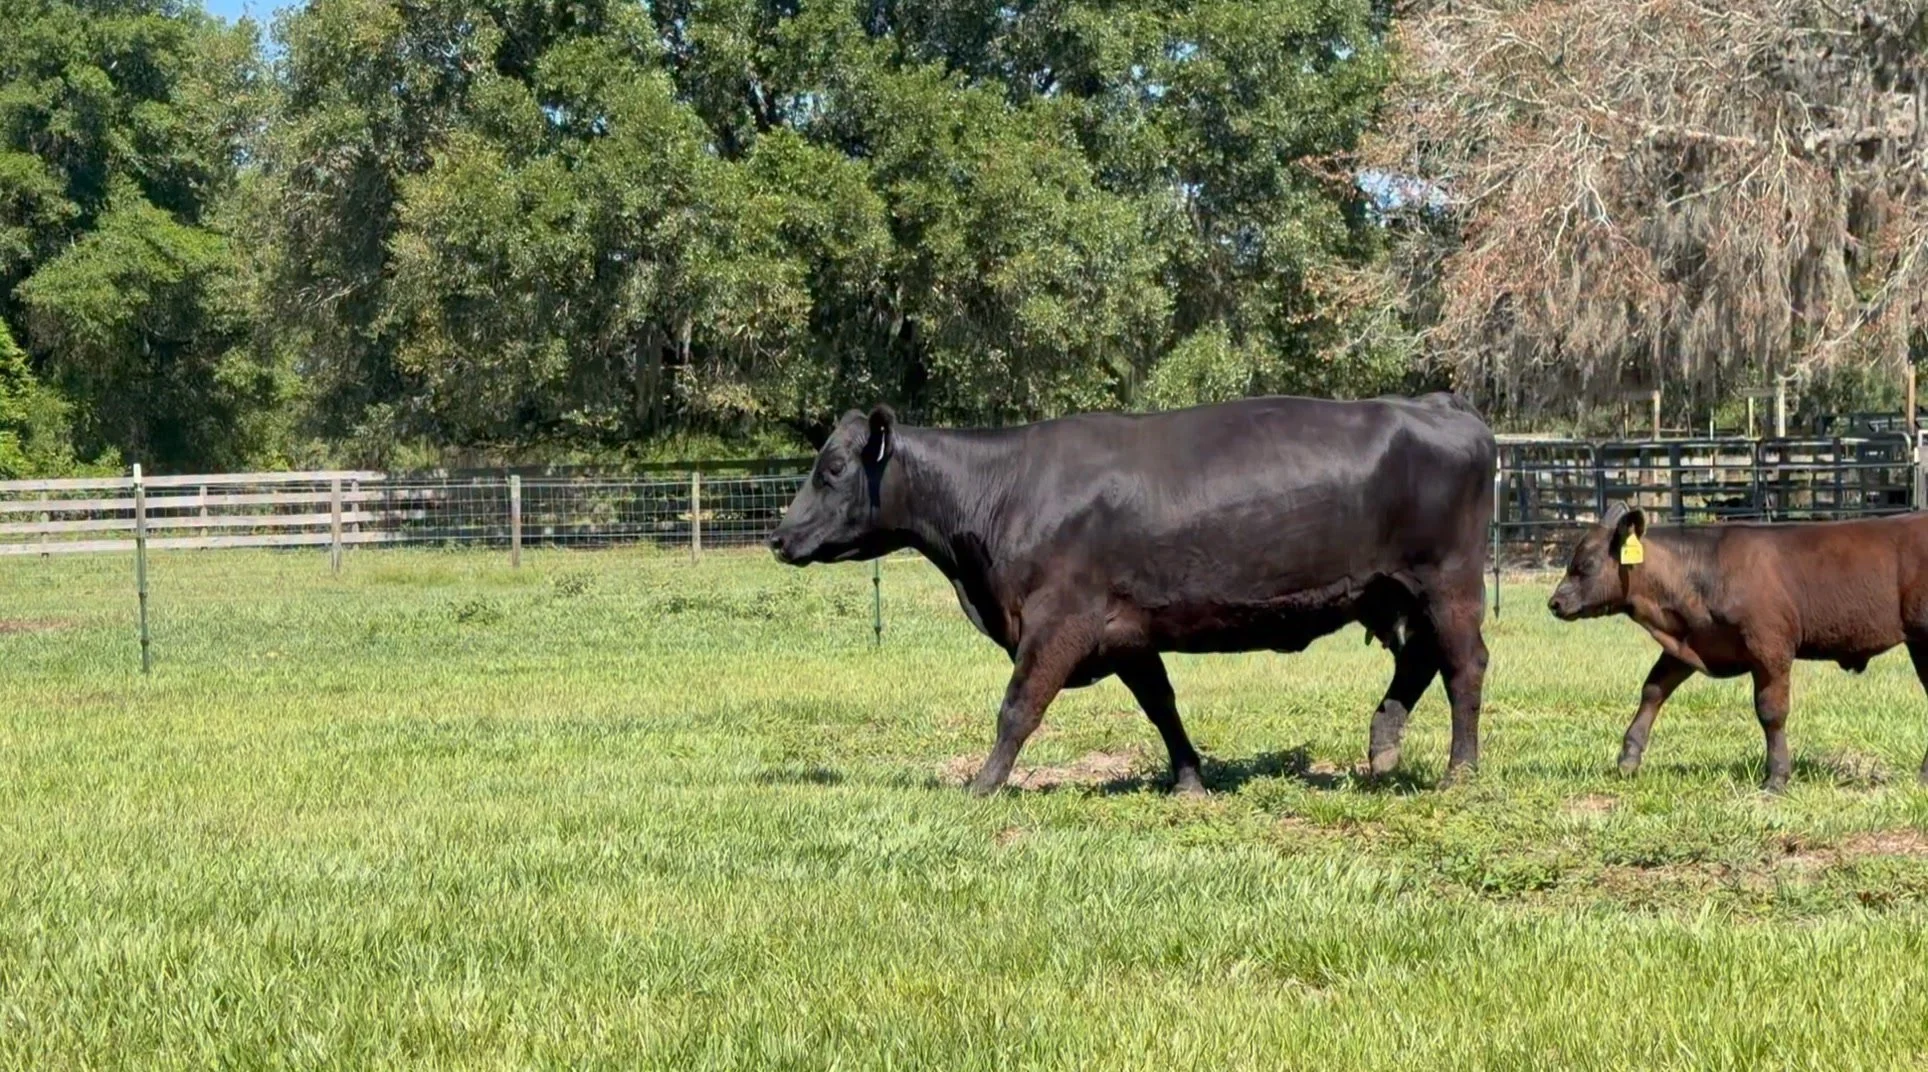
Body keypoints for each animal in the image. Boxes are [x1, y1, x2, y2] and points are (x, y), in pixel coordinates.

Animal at [766, 393, 1497, 796]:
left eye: (833, 469)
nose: (778, 536)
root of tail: (1434, 403)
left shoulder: (1059, 620)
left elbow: (1018, 709)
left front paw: (980, 786)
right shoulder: (1127, 631)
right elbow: (1161, 706)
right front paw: (1191, 781)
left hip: (1447, 581)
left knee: (1464, 666)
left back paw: (1459, 772)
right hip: (1391, 591)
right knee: (1419, 660)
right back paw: (1384, 746)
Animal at [1548, 503, 1928, 792]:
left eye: (1586, 564)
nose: (1554, 603)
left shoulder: (1770, 648)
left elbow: (1771, 711)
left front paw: (1776, 777)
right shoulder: (1689, 643)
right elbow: (1654, 689)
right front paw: (1628, 759)